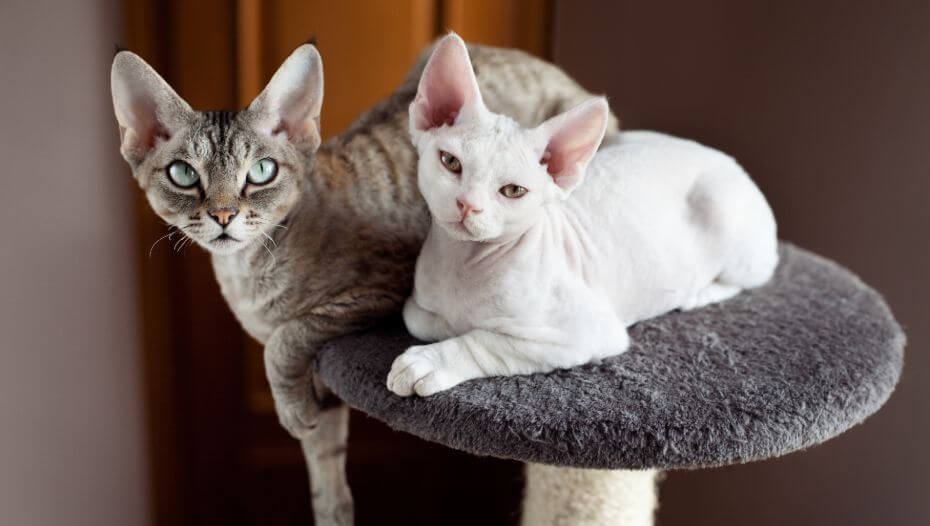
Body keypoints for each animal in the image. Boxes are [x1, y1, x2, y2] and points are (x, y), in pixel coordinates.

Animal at [110, 38, 616, 526]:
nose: (222, 215)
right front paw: (328, 498)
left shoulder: (382, 289)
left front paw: (289, 410)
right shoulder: (323, 378)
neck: (248, 273)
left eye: (261, 172)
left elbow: (287, 339)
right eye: (183, 174)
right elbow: (323, 457)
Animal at [384, 35, 776, 398]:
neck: (463, 264)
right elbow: (419, 318)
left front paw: (429, 360)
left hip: (725, 215)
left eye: (513, 191)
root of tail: (727, 160)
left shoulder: (584, 332)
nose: (468, 204)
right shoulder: (419, 304)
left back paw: (698, 292)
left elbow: (487, 341)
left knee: (749, 277)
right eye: (450, 162)